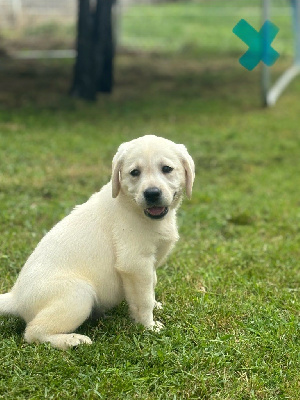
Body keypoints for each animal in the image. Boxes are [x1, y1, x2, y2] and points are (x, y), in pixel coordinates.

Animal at [0, 136, 195, 348]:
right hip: (78, 294)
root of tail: (15, 298)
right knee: (33, 332)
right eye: (135, 172)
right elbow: (143, 300)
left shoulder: (147, 264)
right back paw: (73, 340)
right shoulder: (135, 264)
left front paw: (156, 305)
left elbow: (152, 285)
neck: (132, 206)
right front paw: (148, 326)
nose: (152, 193)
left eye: (167, 169)